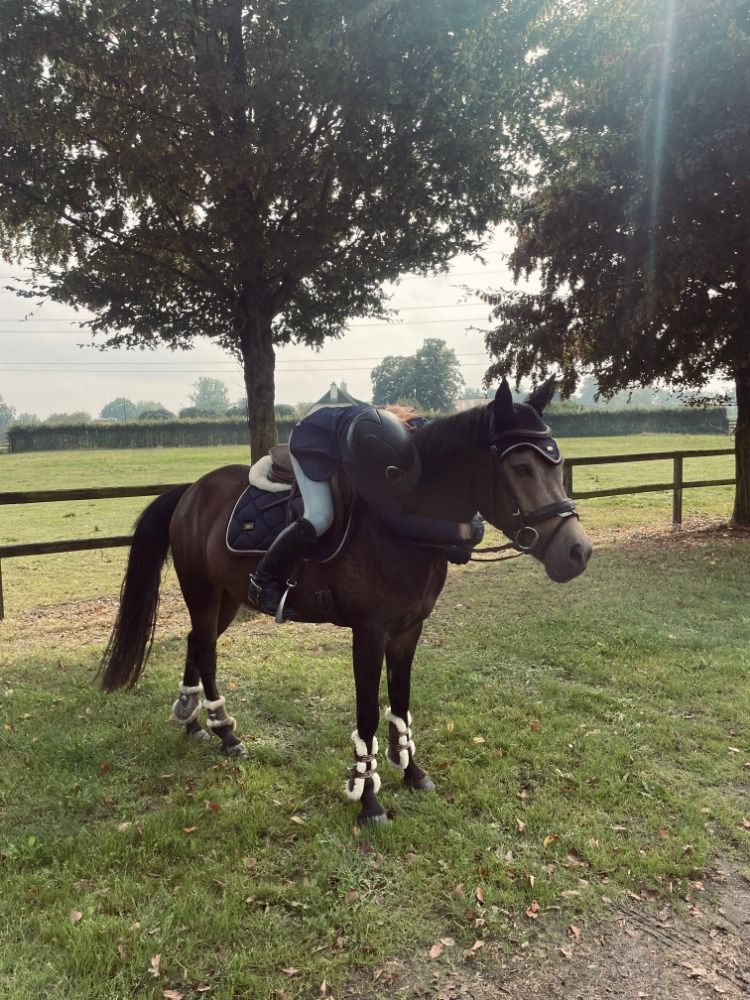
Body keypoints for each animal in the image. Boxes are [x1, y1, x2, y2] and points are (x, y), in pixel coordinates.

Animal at [100, 379, 592, 824]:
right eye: (522, 467)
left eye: (556, 462)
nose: (577, 552)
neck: (401, 526)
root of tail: (190, 491)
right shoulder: (368, 633)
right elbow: (369, 714)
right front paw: (368, 798)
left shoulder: (409, 629)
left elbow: (400, 702)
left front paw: (412, 772)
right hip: (203, 593)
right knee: (205, 647)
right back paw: (224, 733)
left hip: (226, 598)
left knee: (195, 643)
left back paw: (195, 722)